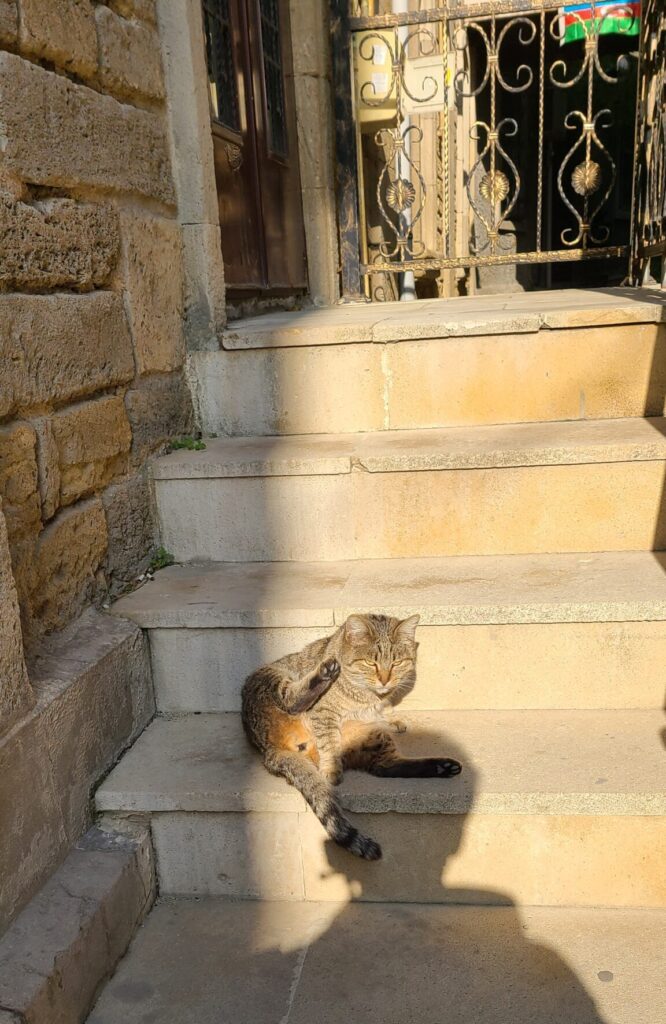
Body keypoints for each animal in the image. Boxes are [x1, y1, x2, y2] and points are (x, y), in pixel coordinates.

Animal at [239, 610, 461, 860]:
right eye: (370, 662)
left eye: (396, 663)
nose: (385, 679)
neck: (368, 696)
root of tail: (267, 749)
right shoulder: (323, 714)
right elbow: (328, 743)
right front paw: (331, 769)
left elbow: (383, 709)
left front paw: (392, 718)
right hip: (269, 679)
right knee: (291, 701)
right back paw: (323, 675)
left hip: (374, 738)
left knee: (385, 767)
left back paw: (442, 767)